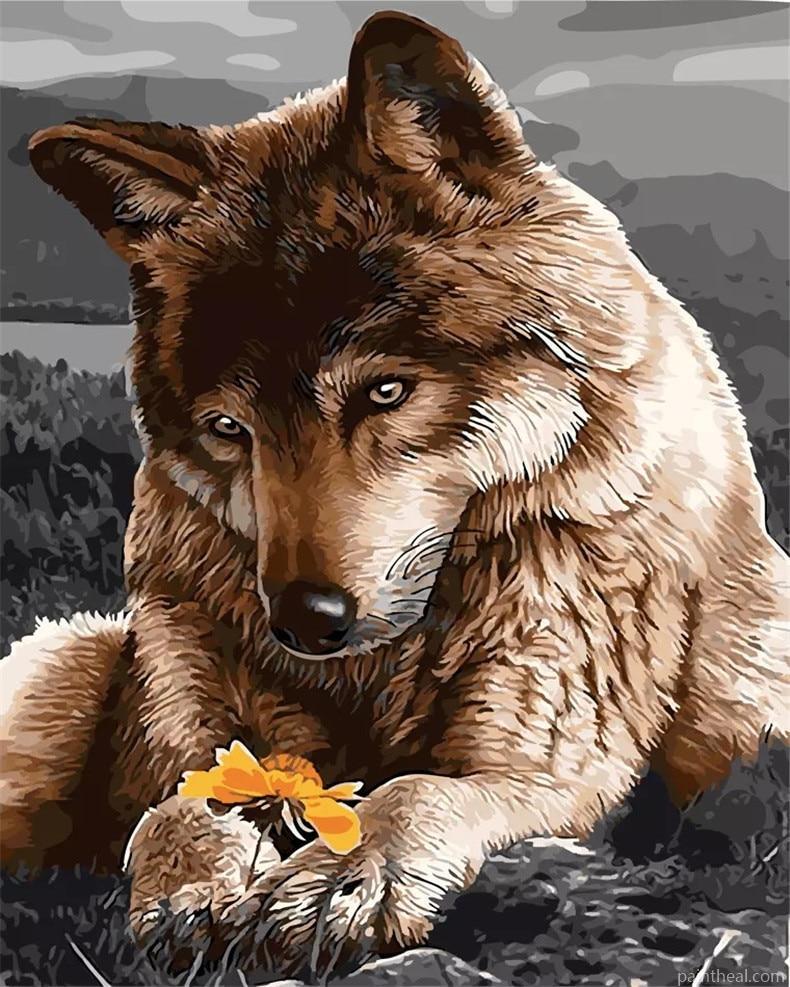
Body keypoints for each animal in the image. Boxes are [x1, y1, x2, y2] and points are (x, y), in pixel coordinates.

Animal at [1, 8, 787, 975]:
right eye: (230, 429)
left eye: (384, 392)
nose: (303, 622)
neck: (384, 669)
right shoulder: (197, 728)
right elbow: (179, 804)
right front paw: (196, 886)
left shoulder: (550, 765)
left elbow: (415, 789)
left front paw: (341, 879)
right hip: (59, 663)